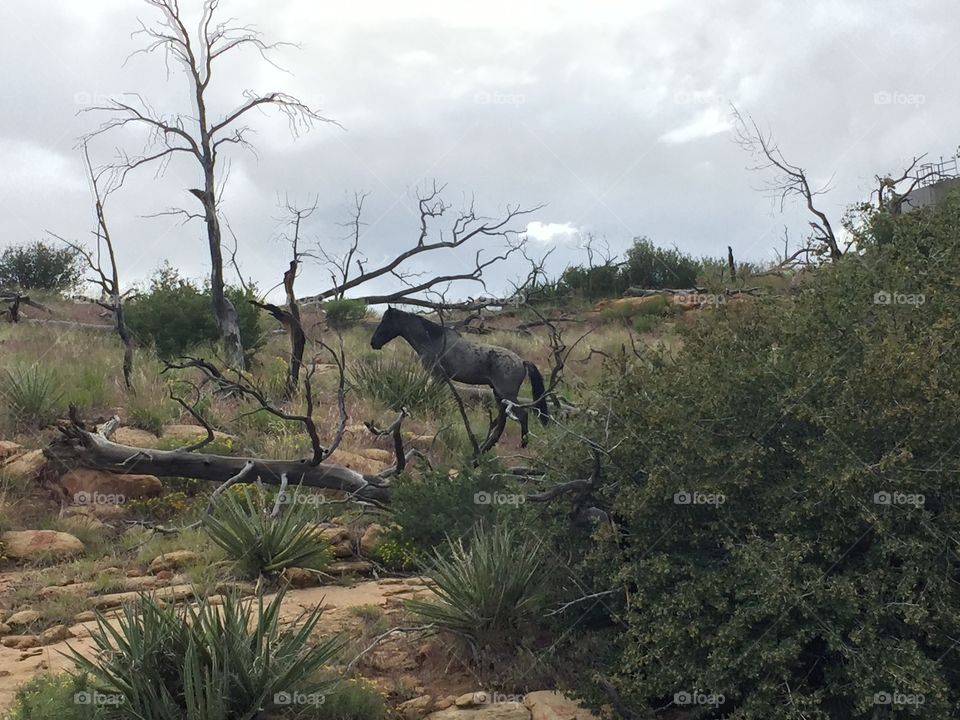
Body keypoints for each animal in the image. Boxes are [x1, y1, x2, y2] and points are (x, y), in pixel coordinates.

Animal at [370, 308, 552, 444]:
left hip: (507, 394)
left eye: (386, 321)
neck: (434, 341)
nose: (373, 342)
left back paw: (523, 442)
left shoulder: (437, 377)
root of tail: (521, 361)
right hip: (499, 395)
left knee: (523, 415)